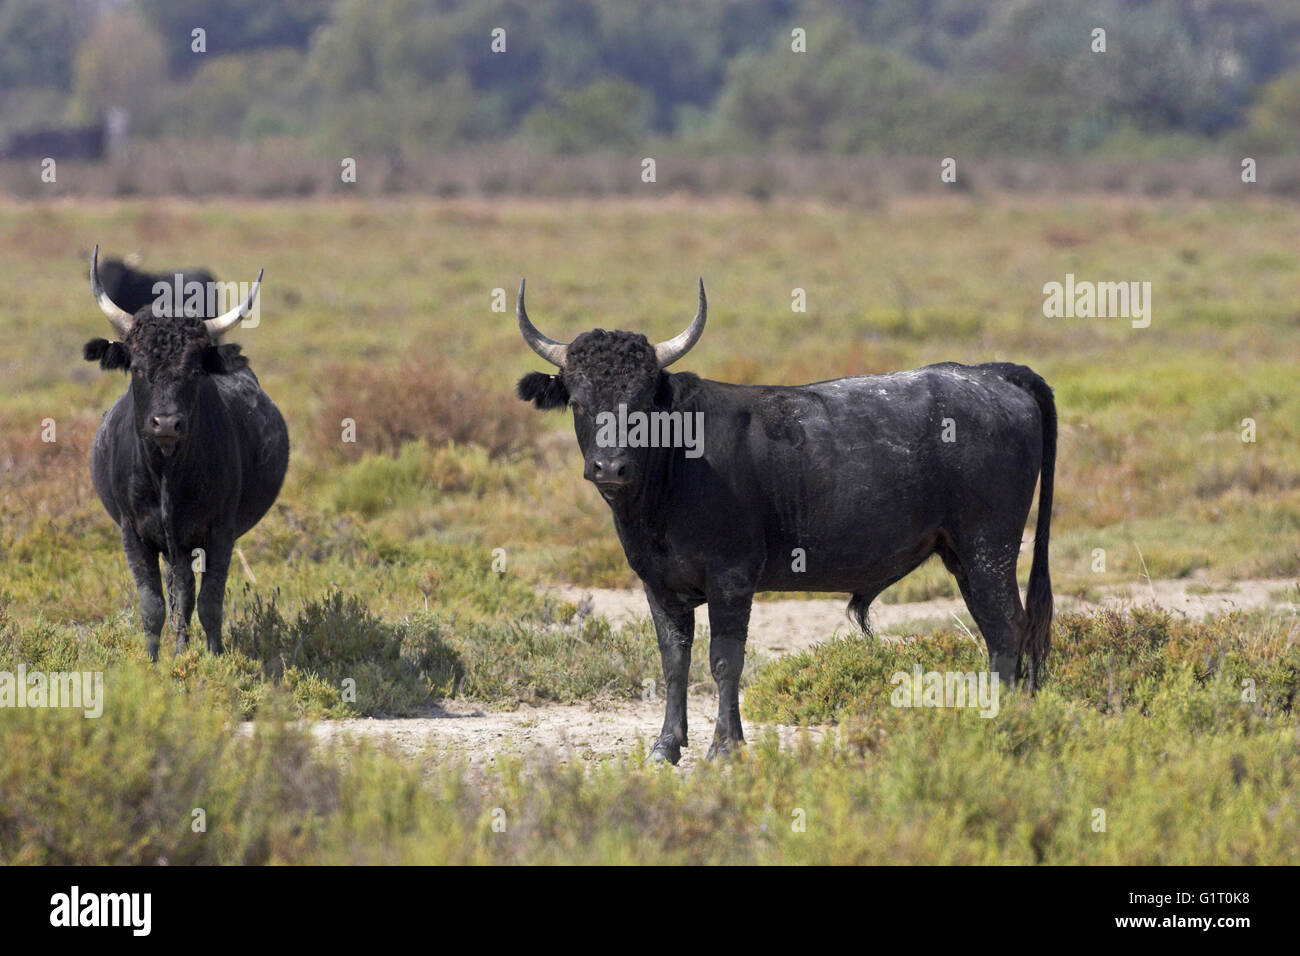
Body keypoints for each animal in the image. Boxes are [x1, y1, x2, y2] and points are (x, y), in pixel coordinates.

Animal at [82, 244, 288, 658]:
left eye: (194, 370)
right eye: (137, 368)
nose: (165, 423)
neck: (165, 474)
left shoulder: (220, 532)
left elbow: (210, 603)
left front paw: (215, 658)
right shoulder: (133, 533)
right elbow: (152, 604)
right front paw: (152, 661)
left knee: (188, 592)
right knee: (178, 591)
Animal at [512, 280, 1050, 764]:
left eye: (642, 402)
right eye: (578, 402)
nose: (610, 467)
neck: (675, 465)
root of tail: (990, 373)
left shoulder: (731, 579)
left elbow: (724, 661)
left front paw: (725, 747)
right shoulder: (659, 585)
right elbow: (674, 661)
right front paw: (666, 746)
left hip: (989, 550)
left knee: (1008, 630)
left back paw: (1004, 725)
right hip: (963, 557)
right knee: (998, 633)